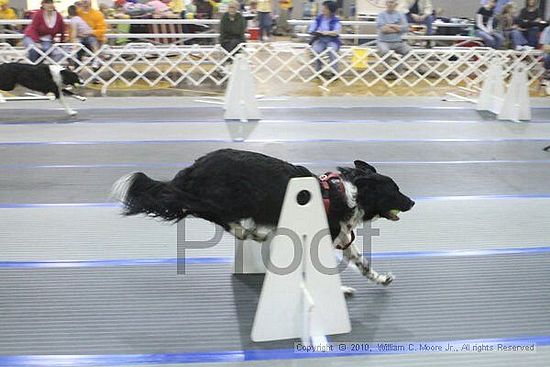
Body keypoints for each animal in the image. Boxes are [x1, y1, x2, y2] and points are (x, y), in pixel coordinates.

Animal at [114, 149, 416, 288]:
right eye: (394, 190)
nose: (412, 202)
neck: (348, 194)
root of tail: (195, 167)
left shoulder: (341, 237)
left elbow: (362, 263)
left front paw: (381, 278)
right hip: (228, 199)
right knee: (203, 210)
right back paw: (247, 232)